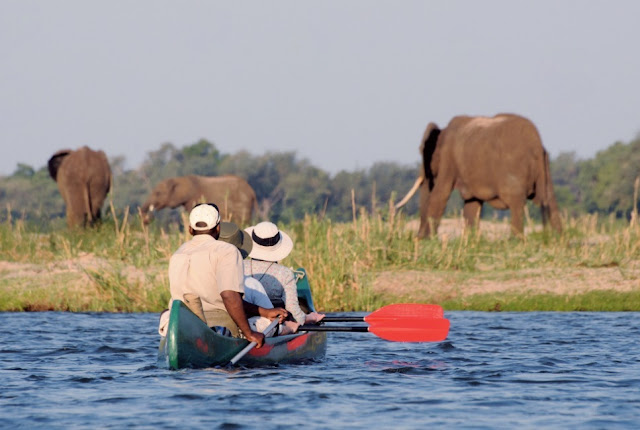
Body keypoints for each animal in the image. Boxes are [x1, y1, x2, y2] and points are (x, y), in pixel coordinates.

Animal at [398, 114, 564, 239]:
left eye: (423, 151)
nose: (417, 236)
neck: (443, 130)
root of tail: (536, 143)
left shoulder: (448, 158)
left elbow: (441, 194)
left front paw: (424, 240)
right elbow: (472, 203)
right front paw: (471, 241)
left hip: (514, 169)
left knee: (516, 203)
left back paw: (515, 241)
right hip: (546, 166)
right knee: (551, 200)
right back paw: (558, 240)